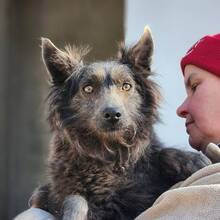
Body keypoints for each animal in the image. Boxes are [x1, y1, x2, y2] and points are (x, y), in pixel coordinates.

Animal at [29, 26, 210, 219]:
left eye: (126, 86)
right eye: (88, 88)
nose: (113, 114)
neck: (113, 155)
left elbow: (163, 153)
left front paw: (191, 160)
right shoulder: (51, 196)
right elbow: (74, 199)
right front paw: (74, 213)